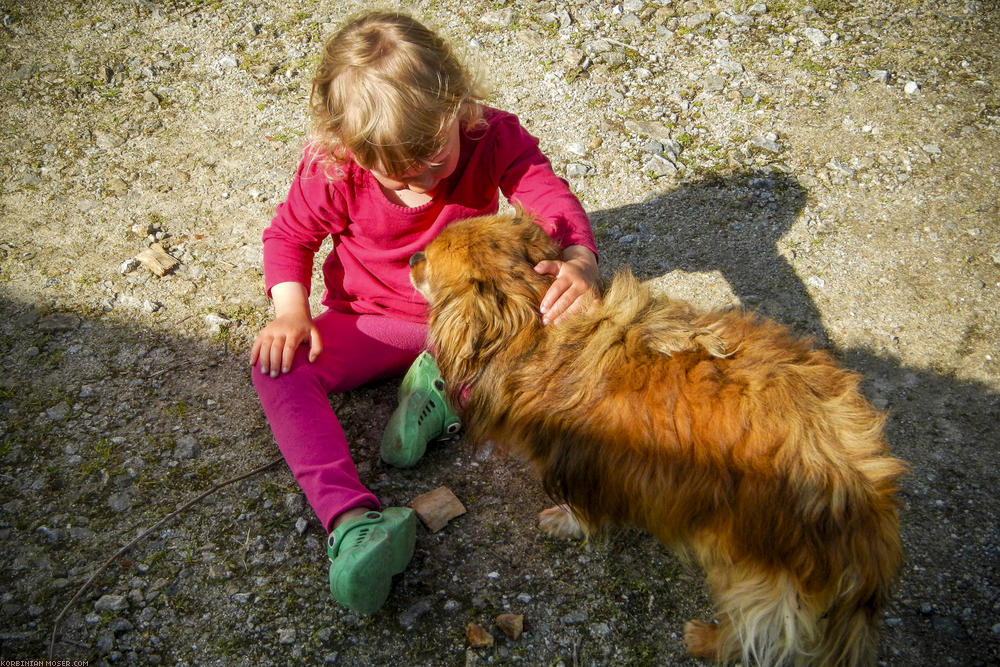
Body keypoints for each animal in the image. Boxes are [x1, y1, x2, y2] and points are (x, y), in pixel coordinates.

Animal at [410, 211, 912, 664]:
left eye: (429, 262)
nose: (412, 257)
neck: (534, 328)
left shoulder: (580, 464)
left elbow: (580, 510)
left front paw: (564, 522)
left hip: (752, 563)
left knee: (762, 627)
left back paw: (708, 641)